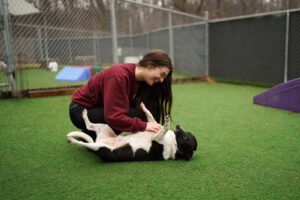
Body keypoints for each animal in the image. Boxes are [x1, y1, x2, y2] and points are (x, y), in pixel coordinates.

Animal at [66, 102, 197, 162]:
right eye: (188, 134)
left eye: (186, 138)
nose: (178, 126)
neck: (174, 144)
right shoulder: (154, 126)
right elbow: (150, 115)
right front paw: (143, 106)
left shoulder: (156, 138)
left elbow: (164, 127)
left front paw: (167, 122)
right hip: (105, 126)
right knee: (89, 125)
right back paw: (84, 114)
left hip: (100, 147)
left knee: (84, 142)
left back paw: (72, 139)